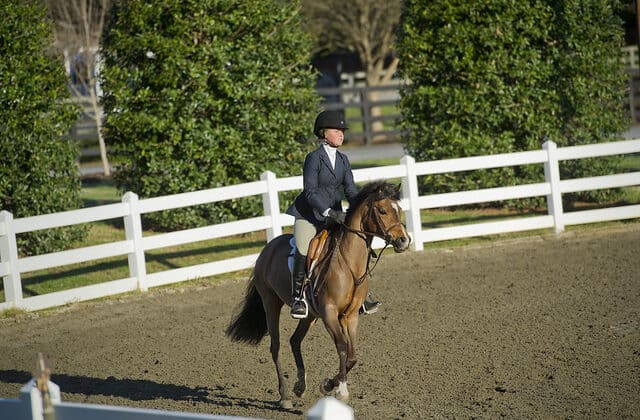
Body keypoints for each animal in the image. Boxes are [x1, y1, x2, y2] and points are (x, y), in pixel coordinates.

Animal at [225, 180, 410, 406]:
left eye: (399, 210)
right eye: (382, 211)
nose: (404, 241)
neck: (349, 262)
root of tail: (266, 249)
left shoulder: (350, 316)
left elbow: (352, 355)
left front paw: (329, 384)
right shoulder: (329, 312)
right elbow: (341, 346)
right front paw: (340, 390)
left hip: (310, 315)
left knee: (294, 341)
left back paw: (300, 386)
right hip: (271, 304)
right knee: (276, 347)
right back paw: (284, 396)